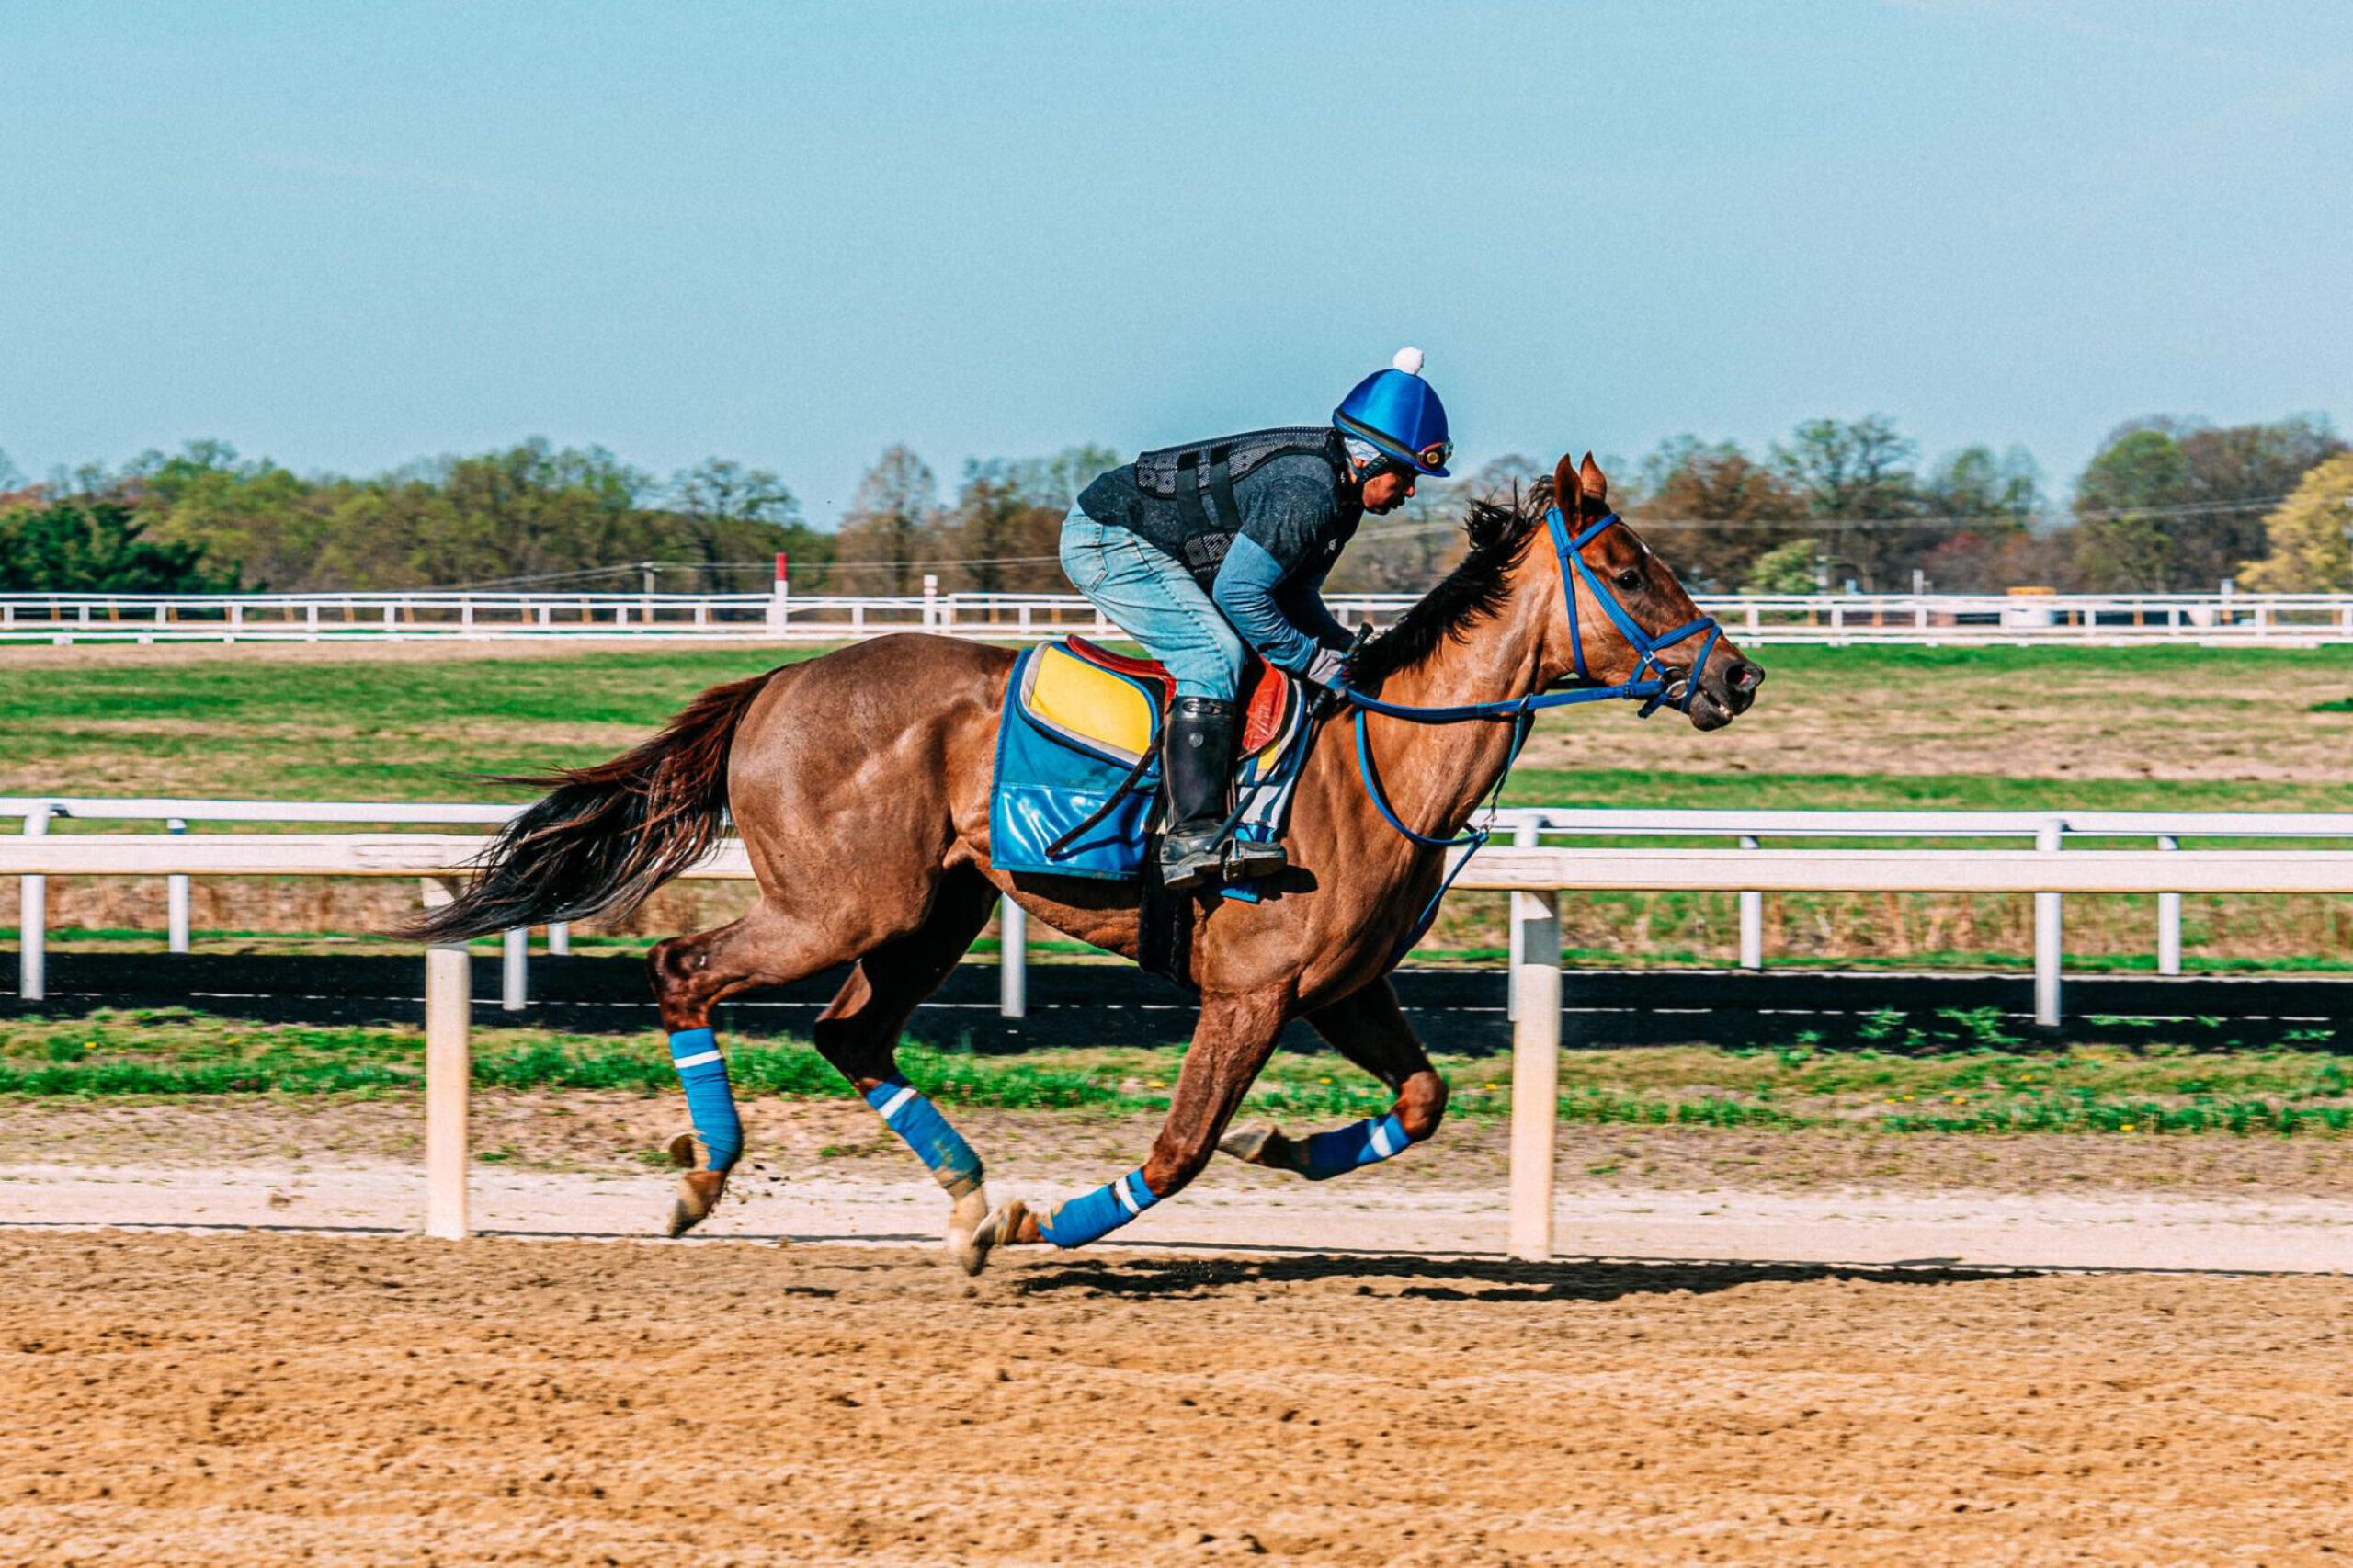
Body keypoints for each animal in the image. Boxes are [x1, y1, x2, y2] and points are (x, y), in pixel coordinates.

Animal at [414, 451, 1759, 1271]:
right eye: (1628, 570)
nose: (1739, 674)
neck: (1379, 755)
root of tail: (779, 679)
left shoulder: (1340, 985)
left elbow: (1422, 1101)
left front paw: (1288, 1148)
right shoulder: (1252, 990)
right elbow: (1179, 1149)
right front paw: (1051, 1218)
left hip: (932, 910)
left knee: (852, 1031)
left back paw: (962, 1197)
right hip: (839, 905)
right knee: (684, 966)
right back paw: (711, 1174)